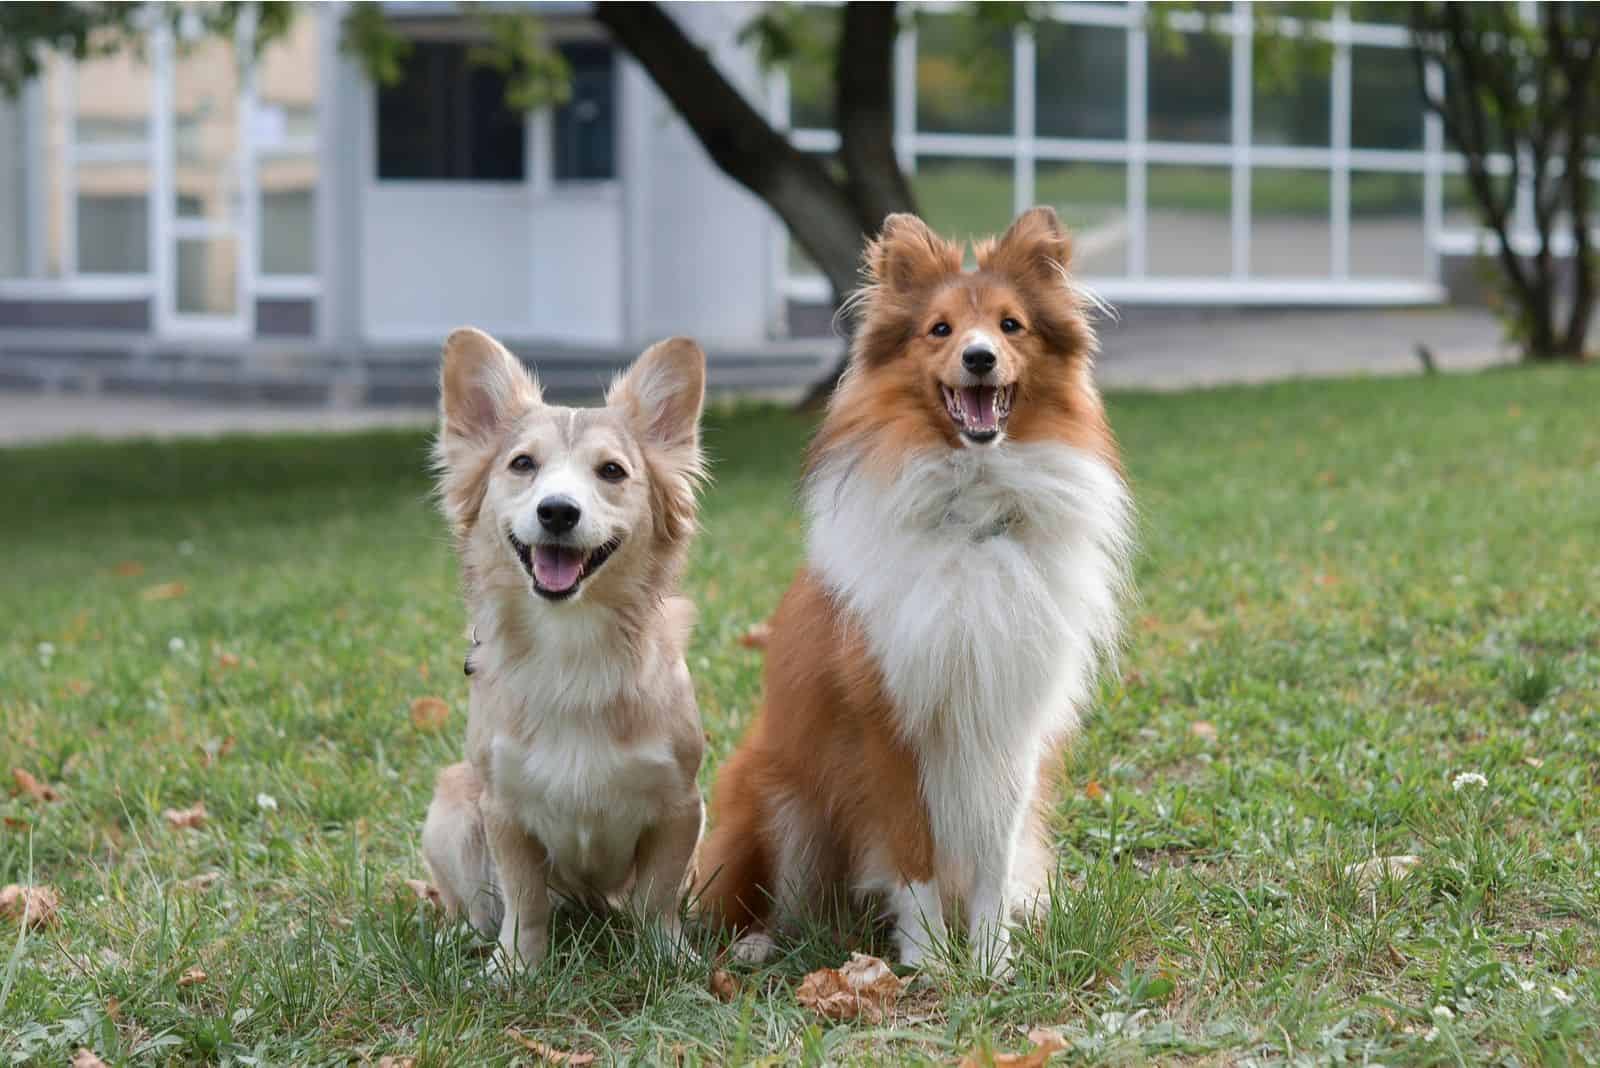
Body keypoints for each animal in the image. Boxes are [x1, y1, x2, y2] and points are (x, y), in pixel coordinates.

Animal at [419, 329, 707, 972]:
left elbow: (657, 896)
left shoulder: (681, 805)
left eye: (612, 472)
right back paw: (458, 936)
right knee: (472, 904)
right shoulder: (502, 809)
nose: (556, 510)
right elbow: (524, 899)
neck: (571, 644)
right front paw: (517, 968)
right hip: (451, 806)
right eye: (522, 464)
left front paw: (666, 958)